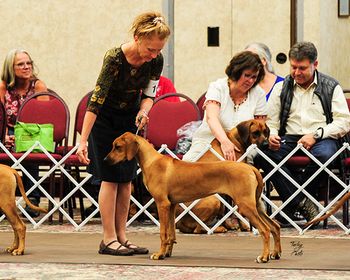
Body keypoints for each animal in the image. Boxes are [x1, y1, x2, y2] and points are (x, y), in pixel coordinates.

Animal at [104, 132, 282, 264]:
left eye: (117, 147)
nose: (105, 160)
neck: (152, 161)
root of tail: (251, 168)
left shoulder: (162, 204)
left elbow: (163, 233)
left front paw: (159, 254)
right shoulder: (171, 205)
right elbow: (171, 233)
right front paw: (167, 253)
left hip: (245, 205)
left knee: (265, 229)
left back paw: (264, 257)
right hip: (256, 205)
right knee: (275, 226)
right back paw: (275, 254)